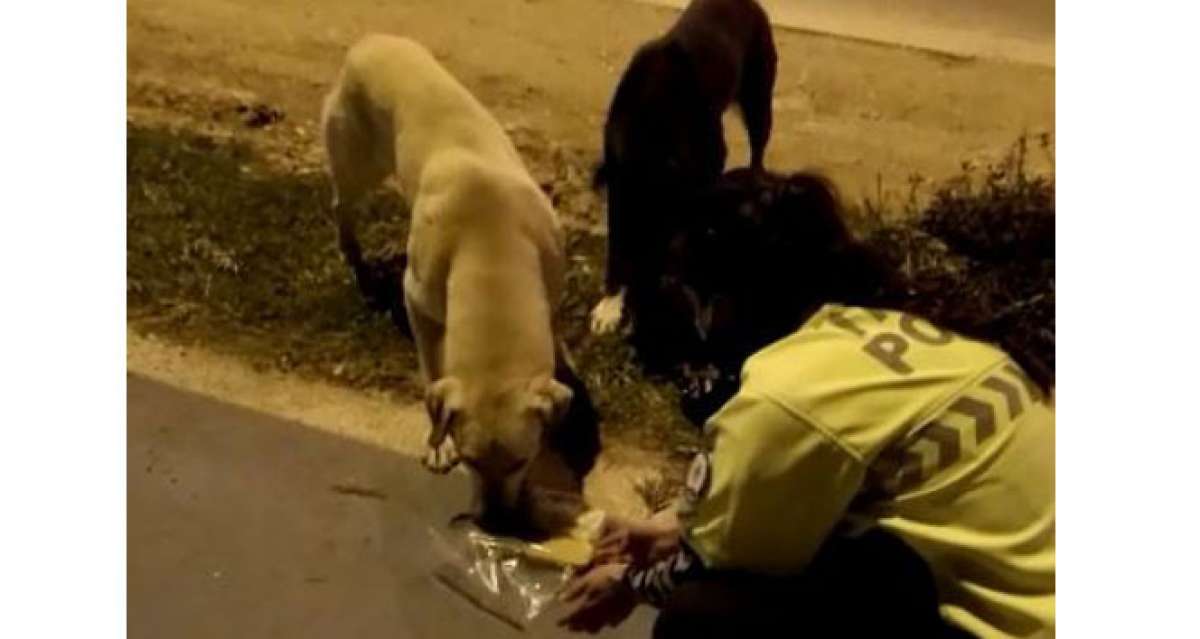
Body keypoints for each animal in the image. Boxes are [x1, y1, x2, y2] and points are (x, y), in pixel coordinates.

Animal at [321, 34, 573, 511]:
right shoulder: (417, 300)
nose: (496, 519)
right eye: (470, 461)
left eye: (521, 461)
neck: (493, 252)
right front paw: (436, 442)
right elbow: (431, 368)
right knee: (342, 204)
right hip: (358, 165)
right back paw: (352, 250)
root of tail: (369, 40)